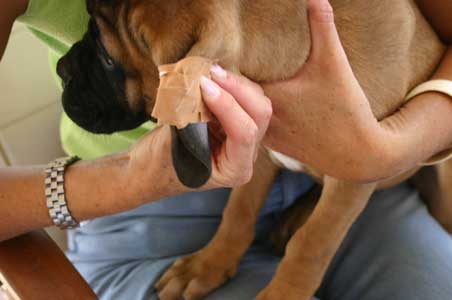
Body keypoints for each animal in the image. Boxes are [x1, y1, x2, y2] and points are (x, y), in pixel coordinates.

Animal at [58, 0, 450, 300]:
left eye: (108, 59)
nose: (61, 69)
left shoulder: (356, 173)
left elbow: (313, 243)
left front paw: (286, 292)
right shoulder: (258, 150)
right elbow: (238, 211)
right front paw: (208, 264)